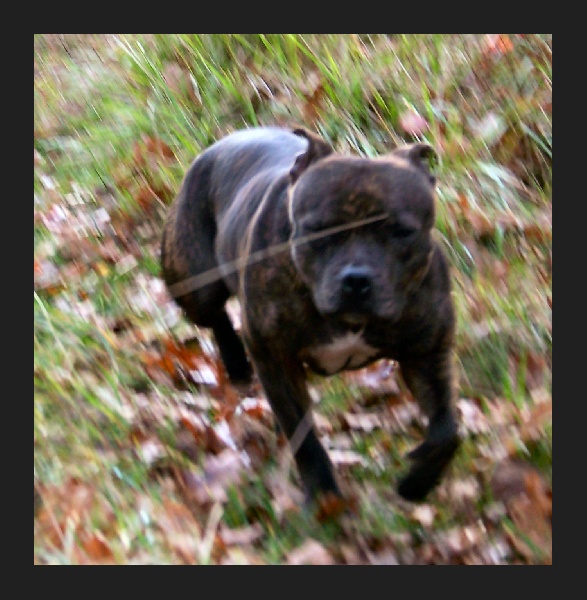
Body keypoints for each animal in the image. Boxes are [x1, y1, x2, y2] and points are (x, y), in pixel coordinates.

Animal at [161, 126, 460, 502]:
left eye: (401, 232)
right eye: (318, 229)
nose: (356, 280)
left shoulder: (427, 354)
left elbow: (447, 430)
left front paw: (417, 482)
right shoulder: (276, 358)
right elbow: (303, 438)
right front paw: (323, 495)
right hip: (195, 283)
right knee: (215, 315)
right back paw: (236, 363)